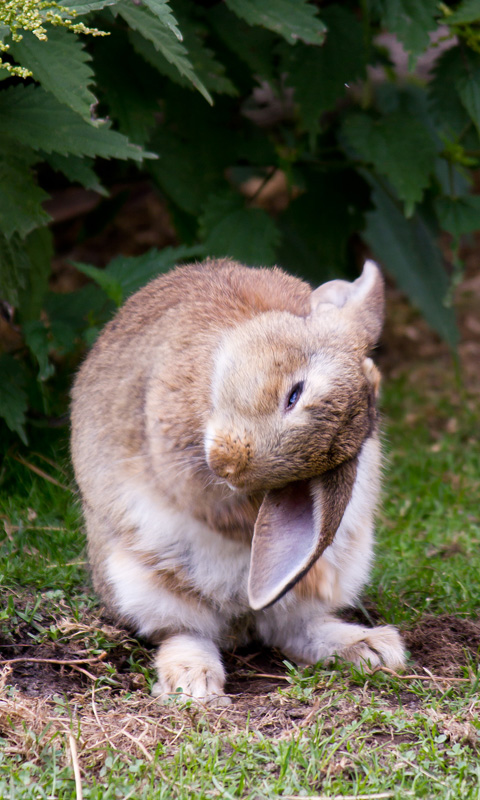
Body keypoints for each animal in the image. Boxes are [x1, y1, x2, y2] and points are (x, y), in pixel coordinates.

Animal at [70, 260, 404, 704]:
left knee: (292, 629)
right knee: (183, 631)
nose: (229, 466)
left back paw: (372, 648)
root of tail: (240, 622)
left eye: (307, 472)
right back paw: (193, 683)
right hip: (138, 580)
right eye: (294, 393)